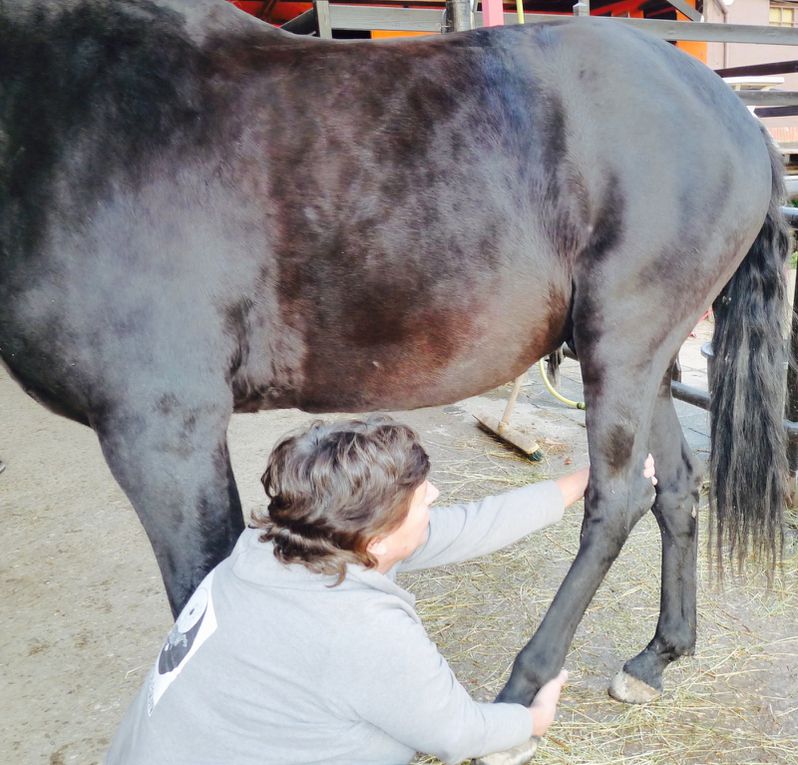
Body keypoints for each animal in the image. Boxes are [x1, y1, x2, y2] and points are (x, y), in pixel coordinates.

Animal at [0, 0, 792, 724]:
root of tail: (737, 116)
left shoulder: (161, 429)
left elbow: (198, 594)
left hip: (621, 344)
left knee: (616, 501)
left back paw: (525, 684)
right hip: (644, 358)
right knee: (675, 486)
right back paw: (656, 657)